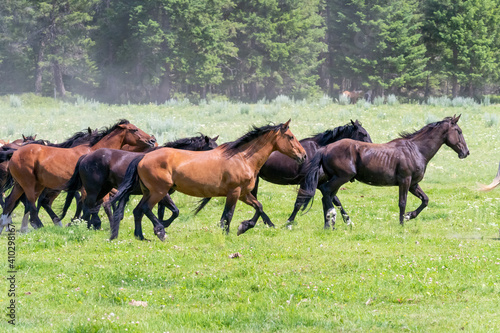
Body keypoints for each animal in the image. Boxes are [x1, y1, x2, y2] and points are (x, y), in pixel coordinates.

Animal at [0, 120, 156, 233]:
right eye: (134, 130)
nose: (152, 140)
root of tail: (15, 153)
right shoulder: (89, 188)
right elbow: (92, 206)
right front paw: (92, 224)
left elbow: (97, 205)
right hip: (30, 185)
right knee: (31, 205)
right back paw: (38, 226)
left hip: (24, 185)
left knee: (10, 202)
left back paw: (7, 226)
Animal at [59, 134, 219, 230]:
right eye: (210, 148)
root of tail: (85, 157)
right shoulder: (162, 193)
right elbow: (174, 211)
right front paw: (163, 225)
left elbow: (165, 211)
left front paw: (160, 225)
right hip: (94, 190)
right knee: (88, 206)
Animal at [108, 120, 306, 240]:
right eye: (290, 137)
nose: (303, 155)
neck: (242, 158)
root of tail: (143, 157)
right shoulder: (234, 192)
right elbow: (228, 215)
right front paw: (228, 233)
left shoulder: (244, 194)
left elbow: (259, 207)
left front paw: (244, 226)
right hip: (159, 191)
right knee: (145, 209)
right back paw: (160, 231)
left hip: (149, 191)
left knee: (137, 211)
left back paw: (141, 236)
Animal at [300, 115, 468, 227]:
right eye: (458, 131)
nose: (466, 152)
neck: (416, 150)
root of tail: (325, 148)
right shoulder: (405, 181)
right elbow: (402, 202)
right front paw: (402, 224)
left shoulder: (413, 184)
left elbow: (425, 200)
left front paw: (409, 216)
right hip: (341, 178)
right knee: (326, 192)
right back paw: (331, 221)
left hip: (336, 179)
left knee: (327, 194)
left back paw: (330, 223)